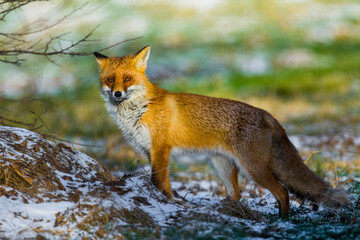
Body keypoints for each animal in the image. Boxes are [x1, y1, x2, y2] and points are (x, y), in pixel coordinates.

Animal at [94, 45, 350, 218]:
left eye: (128, 78)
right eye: (111, 79)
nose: (117, 94)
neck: (138, 109)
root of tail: (268, 114)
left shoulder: (161, 149)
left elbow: (158, 181)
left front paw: (163, 204)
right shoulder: (151, 151)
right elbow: (165, 184)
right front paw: (170, 204)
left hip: (252, 168)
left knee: (283, 192)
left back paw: (283, 221)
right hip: (224, 166)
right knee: (237, 194)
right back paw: (229, 212)